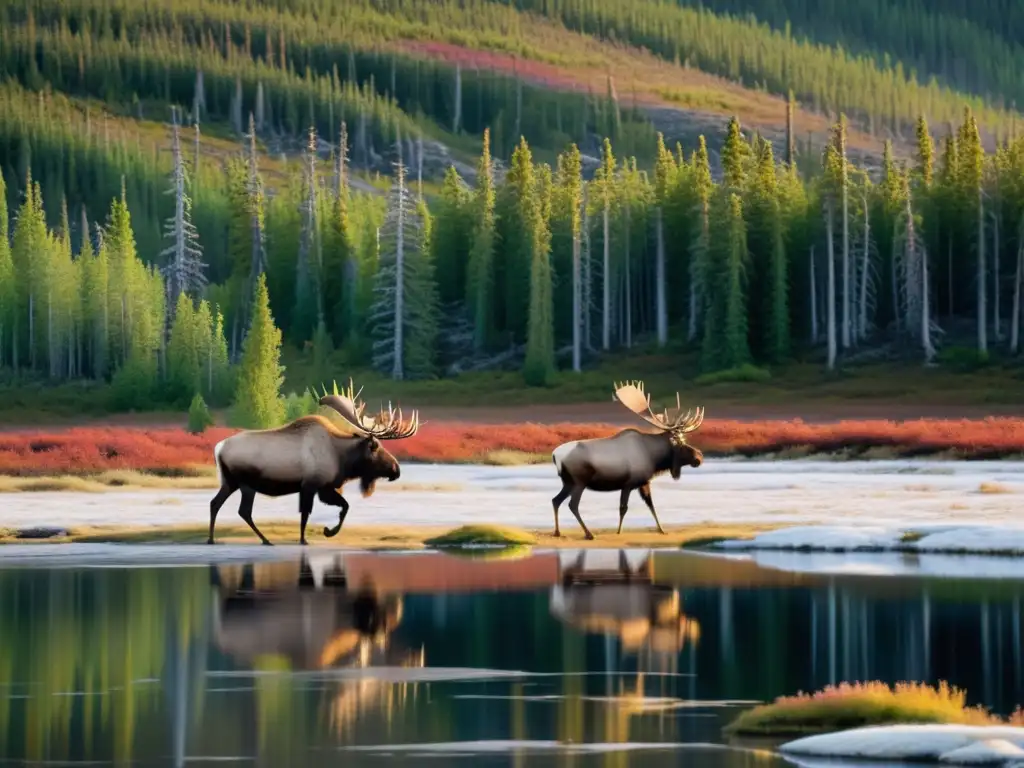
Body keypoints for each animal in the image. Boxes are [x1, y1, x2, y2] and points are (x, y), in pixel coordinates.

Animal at [207, 380, 419, 548]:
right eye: (376, 448)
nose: (396, 469)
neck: (341, 458)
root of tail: (218, 447)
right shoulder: (312, 485)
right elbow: (307, 514)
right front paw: (313, 536)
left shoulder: (323, 487)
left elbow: (344, 506)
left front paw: (326, 532)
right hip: (246, 484)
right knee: (243, 511)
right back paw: (263, 540)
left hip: (230, 482)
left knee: (216, 503)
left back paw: (214, 539)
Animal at [552, 380, 704, 540]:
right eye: (679, 442)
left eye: (684, 438)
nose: (699, 456)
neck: (654, 456)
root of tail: (555, 455)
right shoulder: (628, 483)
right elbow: (623, 508)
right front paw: (619, 531)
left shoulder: (644, 482)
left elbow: (651, 505)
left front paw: (662, 529)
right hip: (580, 481)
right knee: (572, 504)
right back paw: (588, 533)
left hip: (568, 482)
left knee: (555, 500)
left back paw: (557, 531)